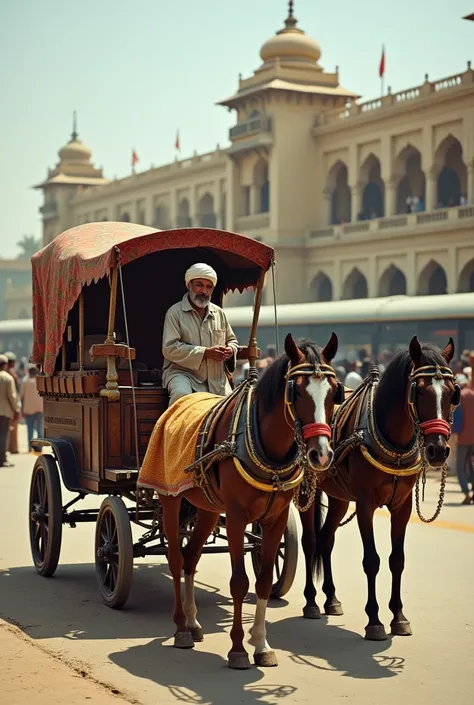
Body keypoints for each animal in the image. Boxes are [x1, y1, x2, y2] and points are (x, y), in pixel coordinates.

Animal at [157, 332, 342, 668]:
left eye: (335, 393)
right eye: (296, 390)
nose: (320, 455)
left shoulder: (275, 517)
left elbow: (265, 580)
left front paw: (261, 645)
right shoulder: (235, 516)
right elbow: (239, 583)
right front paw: (238, 648)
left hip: (206, 509)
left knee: (191, 557)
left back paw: (193, 621)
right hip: (169, 498)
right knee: (176, 559)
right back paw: (180, 628)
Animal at [298, 336, 458, 640]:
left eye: (452, 393)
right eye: (419, 391)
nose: (438, 450)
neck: (393, 441)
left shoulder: (402, 506)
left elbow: (398, 560)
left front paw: (399, 616)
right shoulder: (365, 504)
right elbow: (371, 560)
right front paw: (374, 620)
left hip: (338, 497)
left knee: (326, 539)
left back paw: (331, 598)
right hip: (305, 491)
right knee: (310, 541)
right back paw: (311, 601)